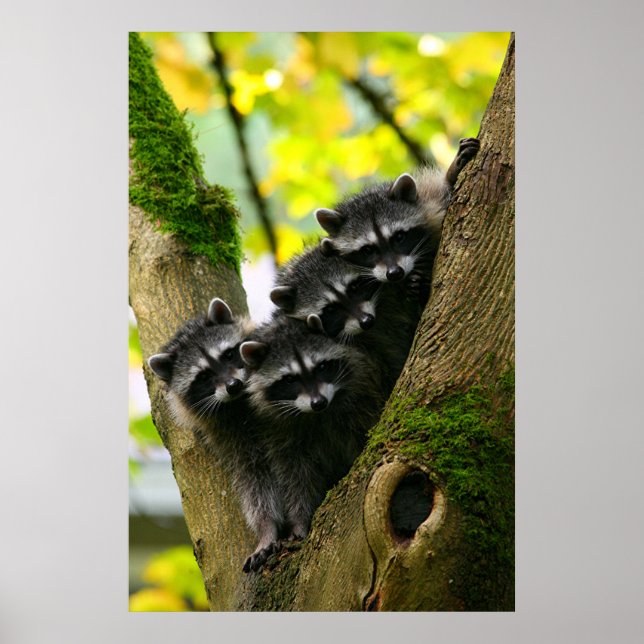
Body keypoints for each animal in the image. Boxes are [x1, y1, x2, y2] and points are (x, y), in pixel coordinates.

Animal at [147, 298, 285, 573]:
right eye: (203, 377)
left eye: (229, 354)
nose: (233, 385)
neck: (238, 404)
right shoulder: (231, 435)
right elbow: (254, 480)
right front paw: (267, 527)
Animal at [240, 314, 385, 540]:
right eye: (290, 379)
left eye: (322, 367)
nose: (319, 402)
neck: (316, 415)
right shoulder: (277, 432)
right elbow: (295, 477)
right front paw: (300, 518)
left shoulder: (361, 399)